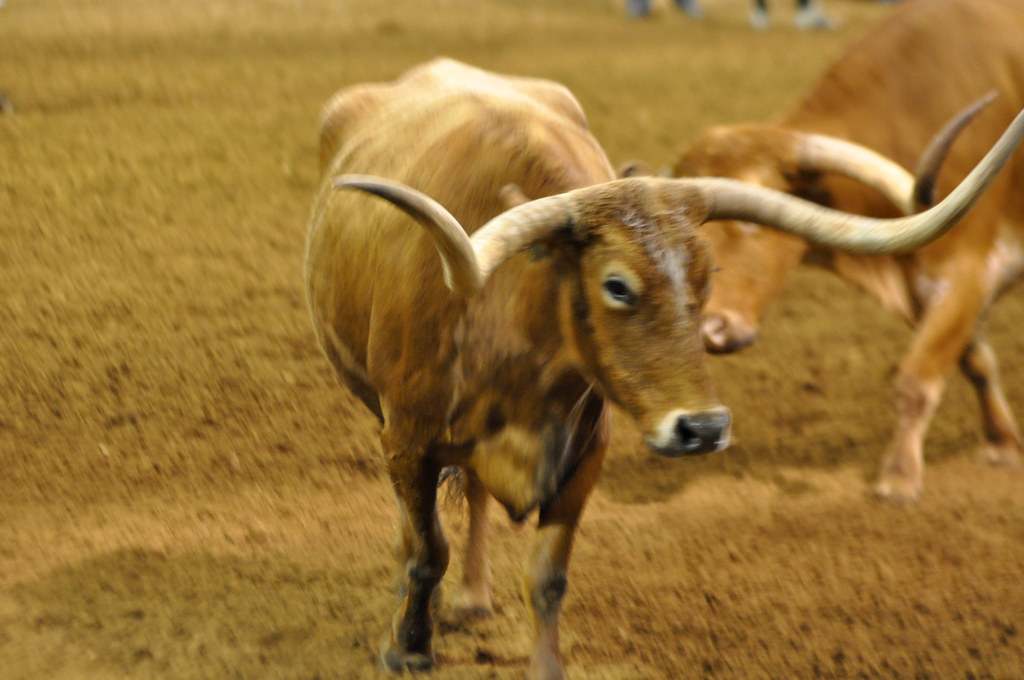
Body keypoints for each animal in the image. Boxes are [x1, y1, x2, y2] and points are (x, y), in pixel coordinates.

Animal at [304, 58, 1024, 678]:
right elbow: (427, 550)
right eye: (616, 285)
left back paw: (475, 597)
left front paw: (545, 666)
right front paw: (407, 647)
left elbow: (547, 576)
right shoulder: (406, 441)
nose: (702, 428)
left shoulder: (584, 453)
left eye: (708, 275)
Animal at [667, 0, 1024, 502]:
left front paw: (898, 477)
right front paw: (1005, 445)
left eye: (756, 221)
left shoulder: (967, 273)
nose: (709, 330)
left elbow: (917, 378)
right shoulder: (925, 288)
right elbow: (977, 363)